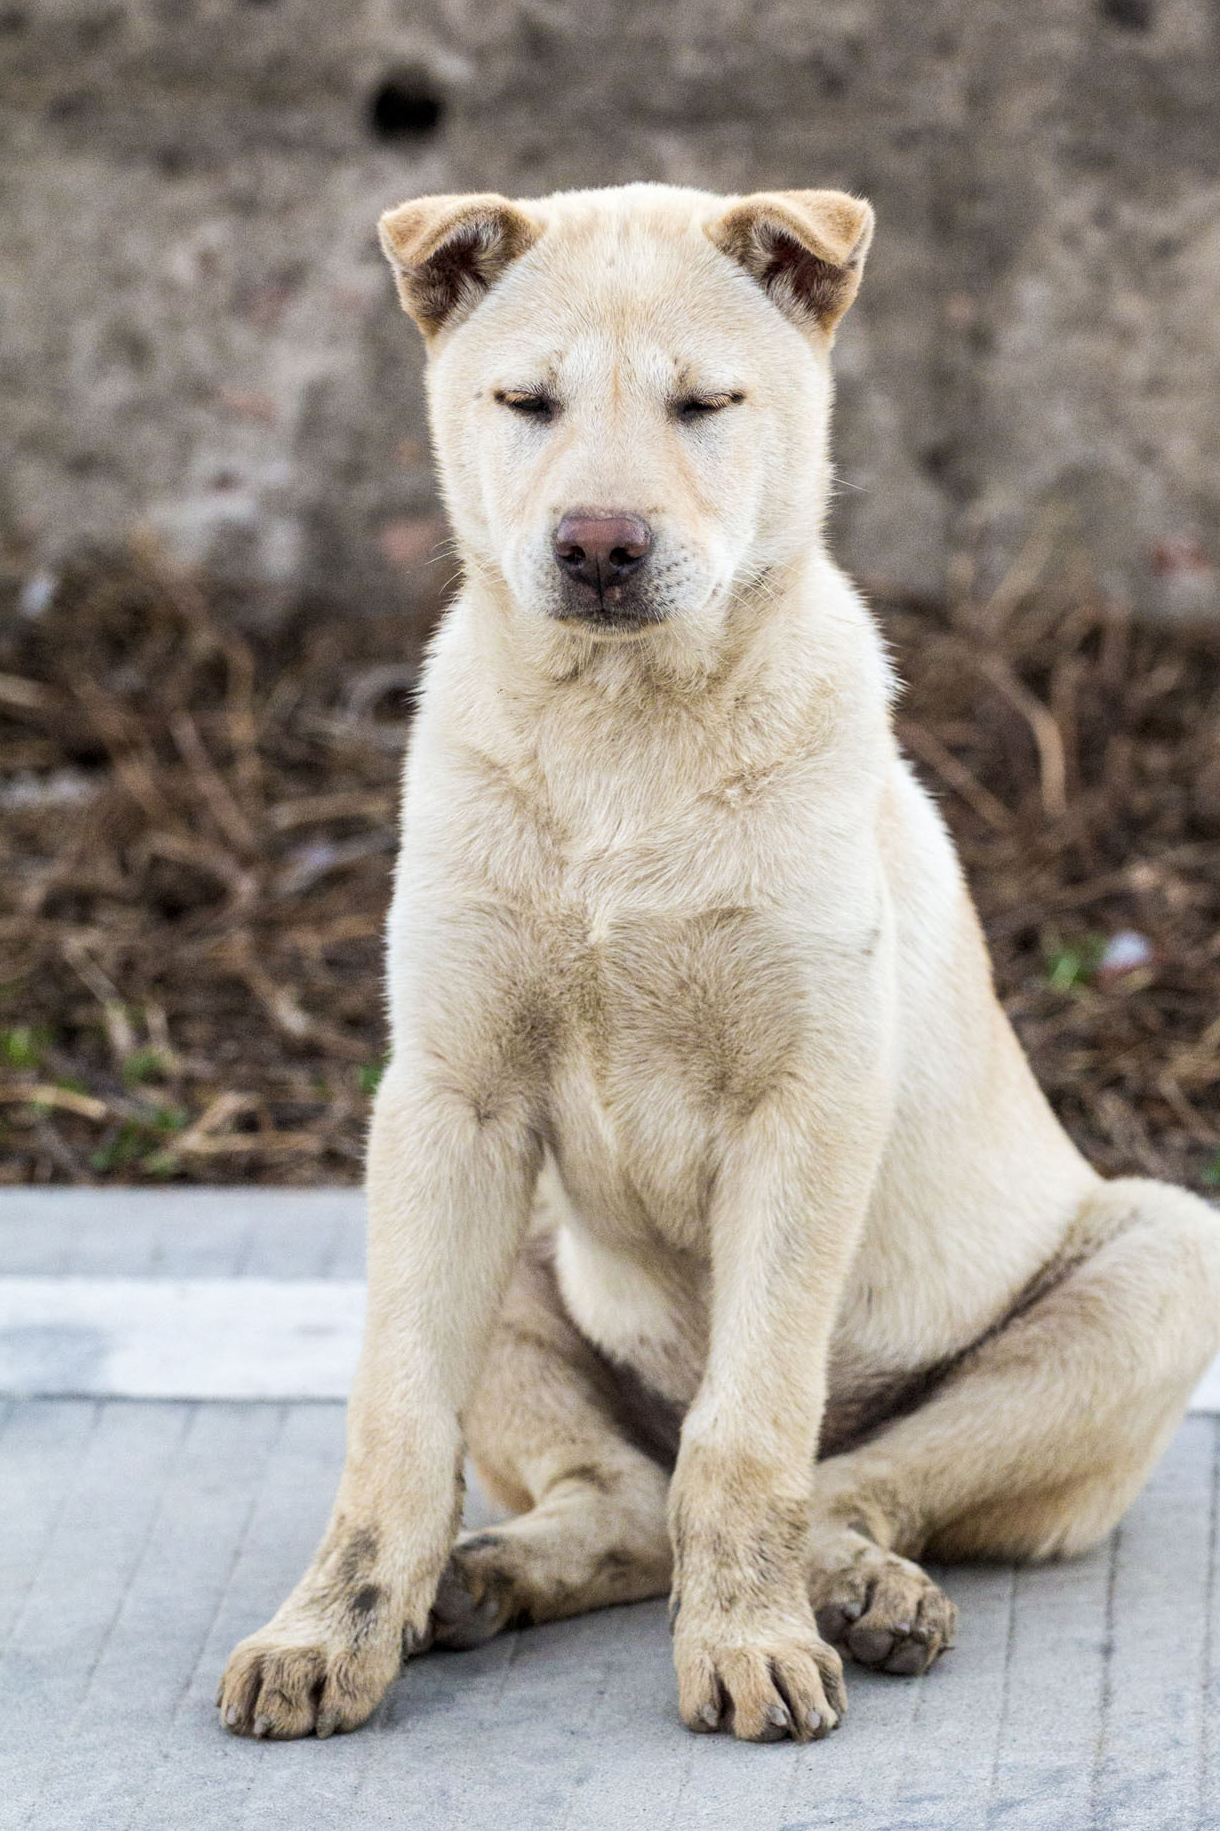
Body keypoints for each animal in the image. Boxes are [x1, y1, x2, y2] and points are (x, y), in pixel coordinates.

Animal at [218, 185, 1216, 1743]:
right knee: (626, 1493)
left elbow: (748, 1432)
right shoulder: (447, 1104)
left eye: (704, 403)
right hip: (503, 1238)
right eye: (527, 401)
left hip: (1161, 1258)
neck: (622, 736)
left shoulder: (805, 1109)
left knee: (840, 1475)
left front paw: (746, 1637)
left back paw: (853, 1586)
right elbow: (394, 1415)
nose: (599, 546)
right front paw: (333, 1628)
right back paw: (485, 1574)